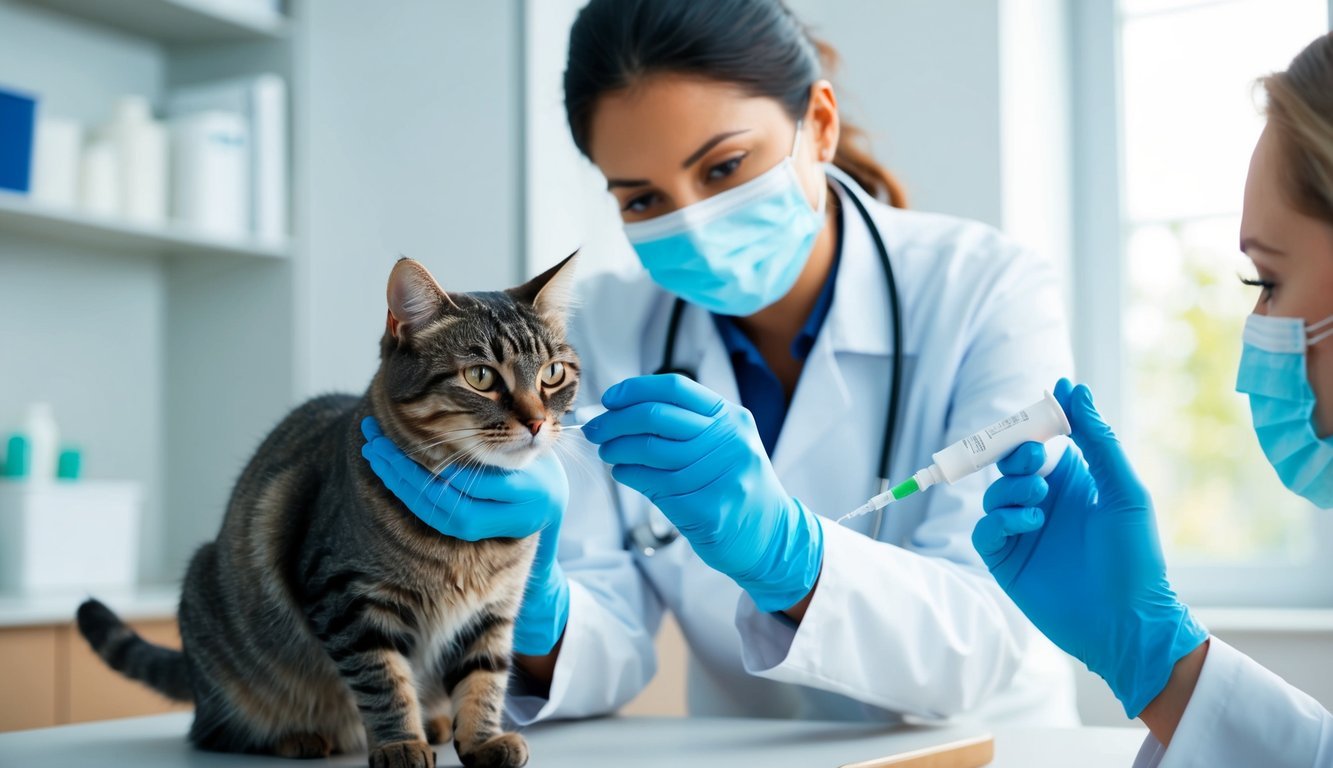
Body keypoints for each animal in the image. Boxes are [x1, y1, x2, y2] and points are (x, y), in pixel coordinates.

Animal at [74, 253, 578, 768]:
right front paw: (400, 743)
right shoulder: (348, 597)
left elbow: (485, 679)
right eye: (481, 377)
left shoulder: (493, 612)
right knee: (214, 732)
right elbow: (383, 681)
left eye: (553, 373)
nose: (537, 421)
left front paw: (481, 741)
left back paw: (435, 721)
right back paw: (298, 737)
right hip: (217, 632)